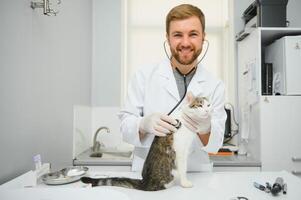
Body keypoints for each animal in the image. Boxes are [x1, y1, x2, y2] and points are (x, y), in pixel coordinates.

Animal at [80, 93, 211, 191]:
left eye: (209, 105)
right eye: (200, 105)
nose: (207, 110)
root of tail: (145, 182)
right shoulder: (180, 151)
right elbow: (183, 168)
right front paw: (185, 183)